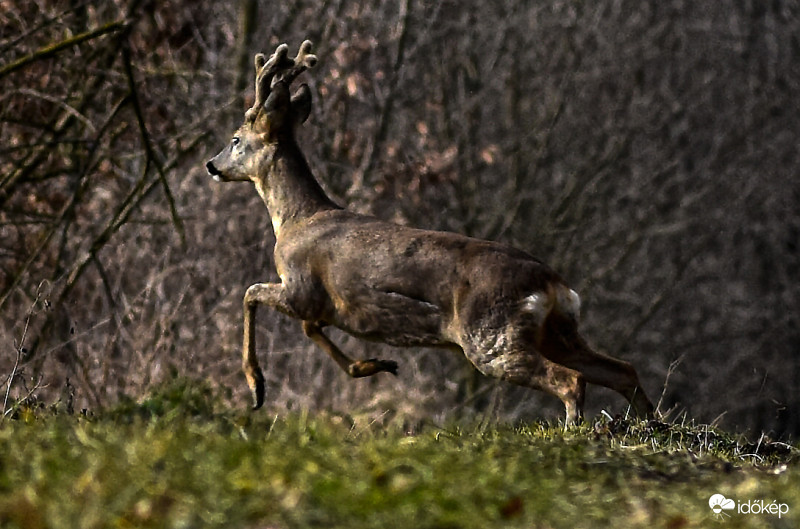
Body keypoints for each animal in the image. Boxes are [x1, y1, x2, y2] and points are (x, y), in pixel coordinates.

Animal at [203, 40, 652, 424]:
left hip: (492, 338)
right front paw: (372, 365)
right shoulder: (322, 304)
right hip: (557, 333)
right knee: (622, 369)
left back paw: (576, 432)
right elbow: (310, 327)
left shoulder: (301, 287)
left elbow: (250, 294)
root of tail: (554, 284)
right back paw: (649, 424)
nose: (211, 164)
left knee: (570, 380)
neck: (296, 219)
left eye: (235, 139)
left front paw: (257, 386)